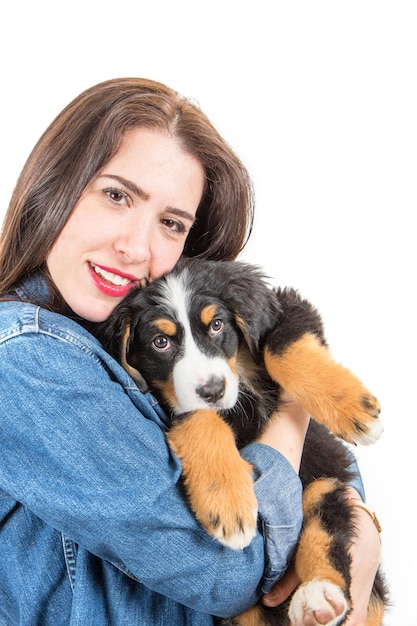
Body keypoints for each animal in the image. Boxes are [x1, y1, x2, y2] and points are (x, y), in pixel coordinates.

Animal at [96, 255, 386, 624]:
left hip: (324, 483)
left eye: (217, 325)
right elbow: (202, 418)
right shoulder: (173, 405)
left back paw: (319, 596)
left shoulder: (288, 307)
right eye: (160, 342)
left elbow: (283, 347)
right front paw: (227, 502)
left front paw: (353, 408)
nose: (213, 390)